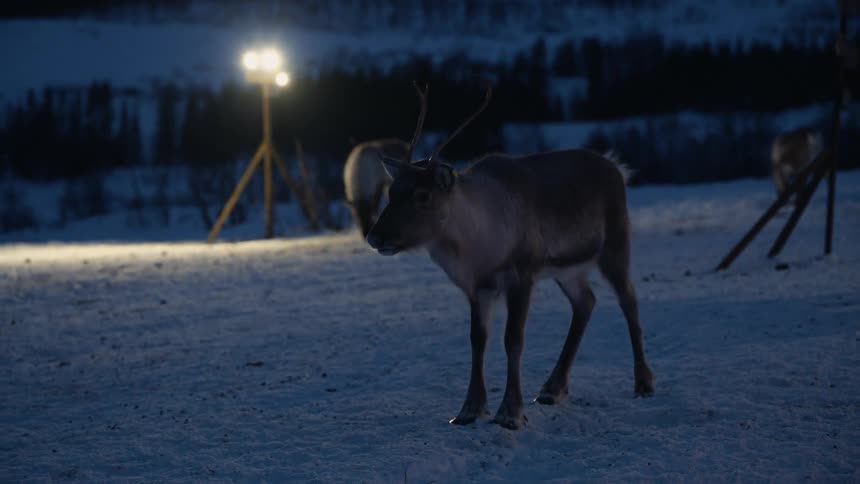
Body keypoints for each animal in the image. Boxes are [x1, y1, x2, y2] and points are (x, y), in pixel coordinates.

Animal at [366, 84, 655, 430]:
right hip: (567, 269)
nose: (375, 237)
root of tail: (617, 168)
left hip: (614, 244)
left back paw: (643, 382)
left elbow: (513, 339)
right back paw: (552, 388)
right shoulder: (478, 287)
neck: (475, 248)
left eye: (423, 195)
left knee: (629, 299)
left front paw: (509, 413)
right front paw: (470, 409)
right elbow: (478, 339)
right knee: (586, 301)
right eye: (391, 192)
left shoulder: (522, 274)